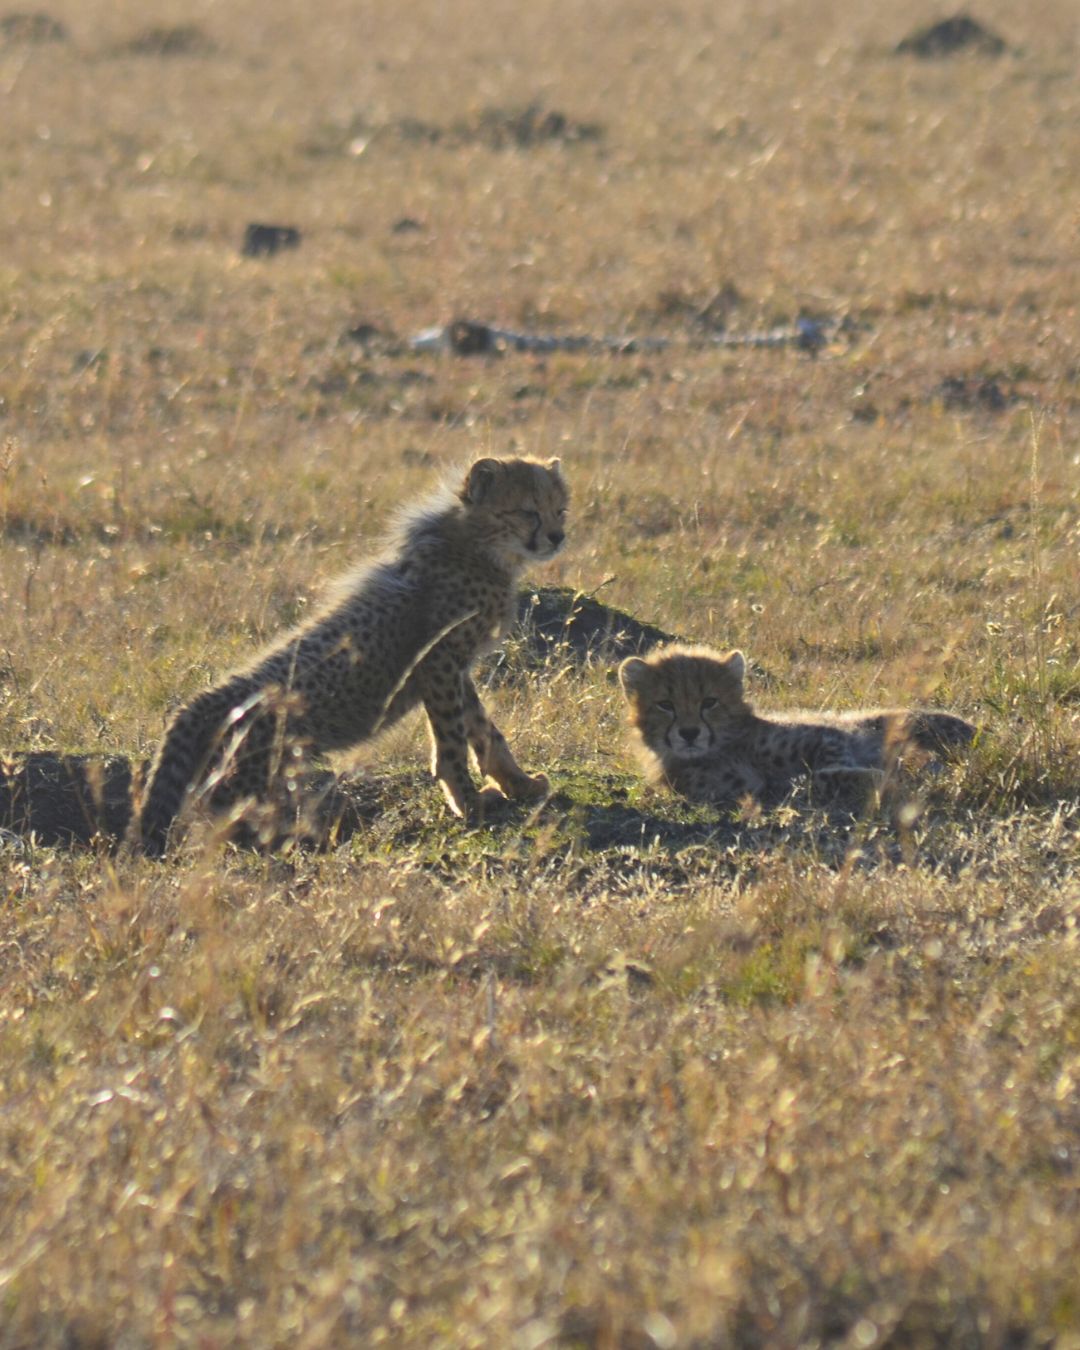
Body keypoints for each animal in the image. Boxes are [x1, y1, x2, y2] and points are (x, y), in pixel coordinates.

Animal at [129, 456, 568, 856]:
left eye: (560, 509)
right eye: (528, 512)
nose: (558, 537)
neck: (479, 545)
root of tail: (202, 700)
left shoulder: (455, 668)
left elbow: (483, 728)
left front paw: (517, 783)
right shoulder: (440, 660)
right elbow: (452, 740)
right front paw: (468, 802)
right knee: (218, 824)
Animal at [619, 644, 975, 807]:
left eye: (710, 702)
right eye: (666, 705)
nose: (690, 733)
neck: (723, 749)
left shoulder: (824, 736)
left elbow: (829, 763)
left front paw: (882, 774)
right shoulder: (751, 790)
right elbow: (806, 782)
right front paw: (879, 778)